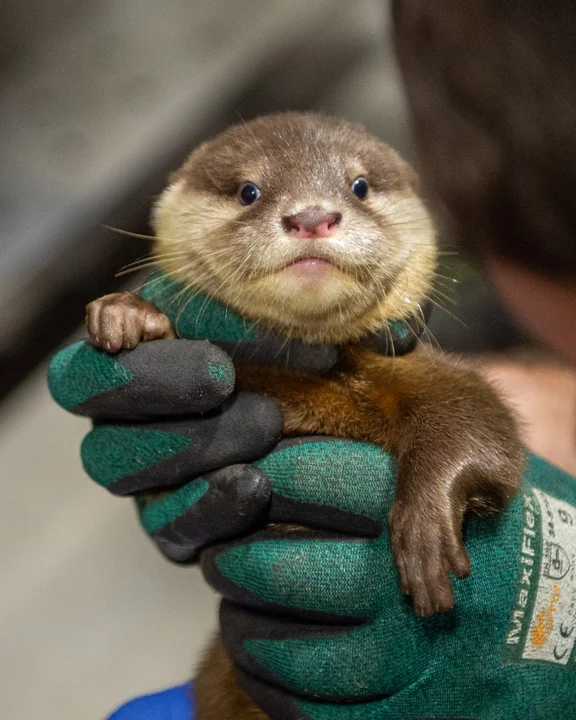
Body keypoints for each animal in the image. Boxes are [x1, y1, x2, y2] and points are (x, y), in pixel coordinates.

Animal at [85, 114, 520, 720]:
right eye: (249, 191)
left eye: (358, 186)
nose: (312, 216)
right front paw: (129, 314)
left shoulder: (428, 372)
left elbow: (480, 427)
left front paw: (425, 528)